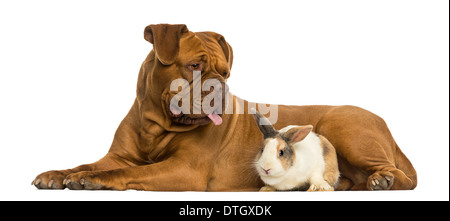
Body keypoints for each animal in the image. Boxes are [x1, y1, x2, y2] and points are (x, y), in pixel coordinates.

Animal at [32, 23, 418, 190]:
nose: (221, 86)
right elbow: (88, 163)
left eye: (226, 71)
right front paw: (59, 174)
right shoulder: (119, 156)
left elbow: (125, 173)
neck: (155, 123)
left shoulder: (186, 170)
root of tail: (384, 122)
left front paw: (93, 180)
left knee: (402, 177)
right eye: (194, 65)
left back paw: (382, 180)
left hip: (345, 128)